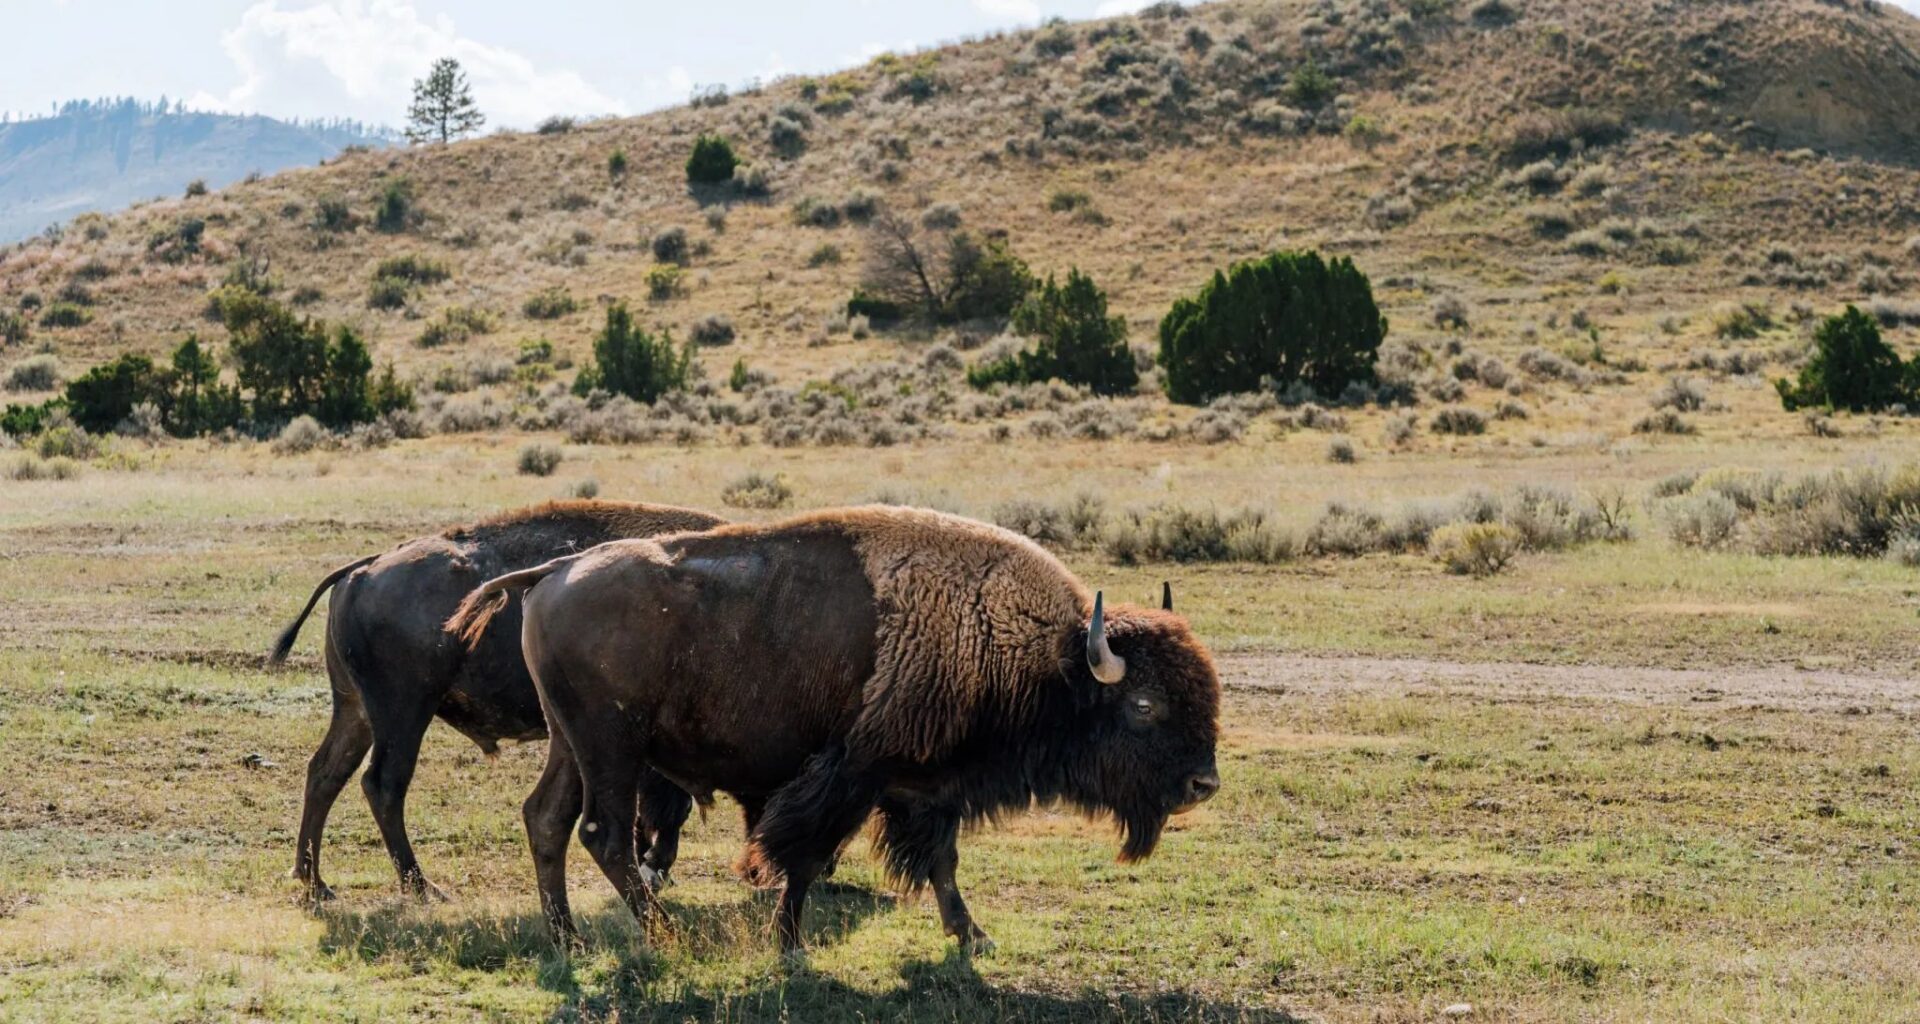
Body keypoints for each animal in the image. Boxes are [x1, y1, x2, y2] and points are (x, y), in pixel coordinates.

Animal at [270, 499, 725, 901]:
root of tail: (362, 569)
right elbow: (666, 804)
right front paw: (654, 866)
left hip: (356, 709)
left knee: (326, 772)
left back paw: (315, 881)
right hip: (403, 712)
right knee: (382, 784)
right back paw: (423, 887)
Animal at [447, 505, 1221, 954]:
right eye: (1144, 705)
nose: (1203, 784)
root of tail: (555, 569)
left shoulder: (924, 788)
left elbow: (941, 863)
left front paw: (972, 936)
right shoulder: (853, 777)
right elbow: (804, 858)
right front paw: (789, 944)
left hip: (570, 742)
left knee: (546, 820)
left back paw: (567, 939)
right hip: (612, 748)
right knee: (602, 833)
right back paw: (665, 939)